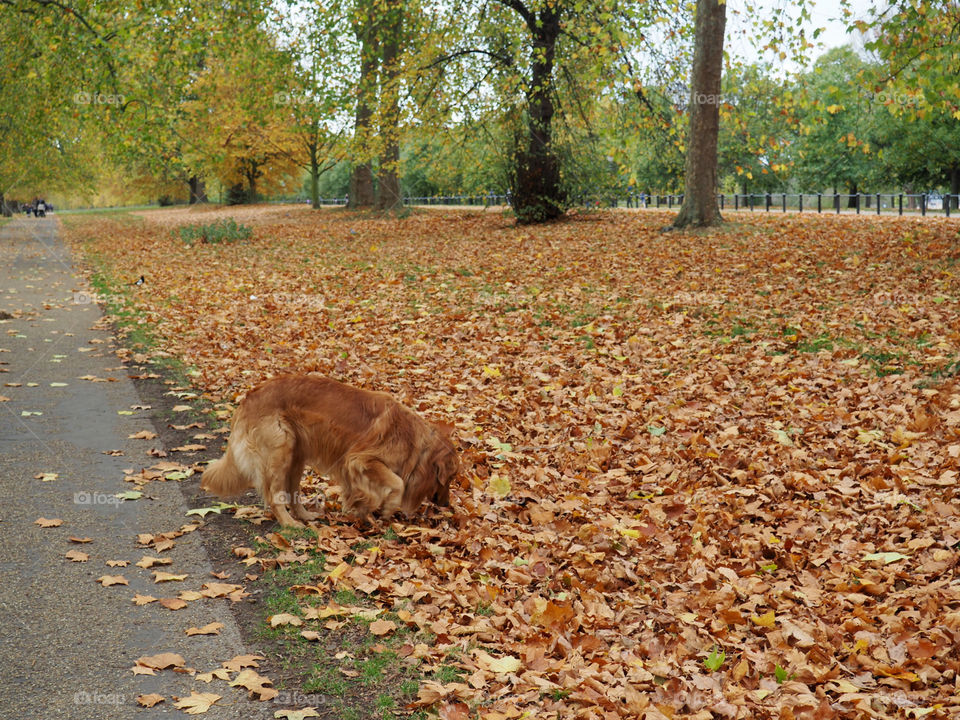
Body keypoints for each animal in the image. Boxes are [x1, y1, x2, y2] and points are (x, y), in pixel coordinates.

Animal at [201, 374, 460, 524]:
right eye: (449, 479)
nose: (447, 504)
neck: (414, 440)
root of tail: (249, 397)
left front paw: (365, 510)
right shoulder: (359, 460)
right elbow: (397, 483)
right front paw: (383, 509)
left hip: (296, 456)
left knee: (293, 493)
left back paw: (306, 516)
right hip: (280, 453)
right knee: (275, 497)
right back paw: (290, 525)